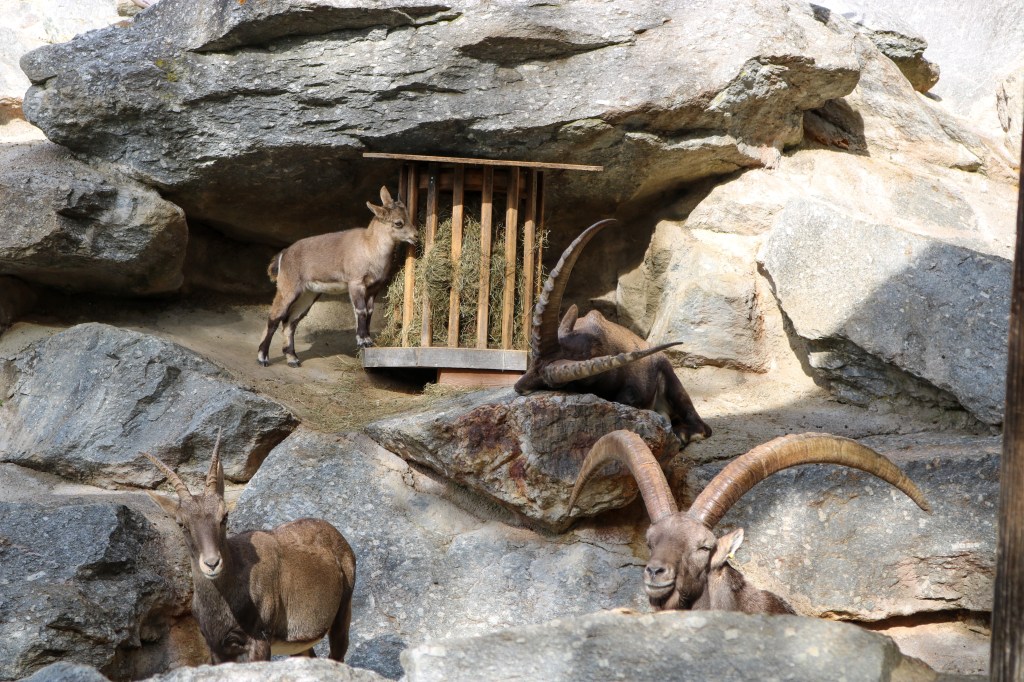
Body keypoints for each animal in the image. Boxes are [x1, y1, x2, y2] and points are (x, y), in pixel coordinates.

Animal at [144, 433, 356, 662]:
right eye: (181, 524)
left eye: (224, 516)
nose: (212, 563)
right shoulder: (217, 648)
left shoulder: (259, 640)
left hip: (343, 612)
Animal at [257, 185, 415, 367]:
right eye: (398, 223)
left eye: (408, 216)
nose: (416, 236)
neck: (369, 247)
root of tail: (284, 254)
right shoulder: (356, 282)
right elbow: (361, 310)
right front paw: (362, 340)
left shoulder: (374, 287)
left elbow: (369, 311)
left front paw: (368, 340)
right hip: (288, 287)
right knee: (274, 318)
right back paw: (263, 357)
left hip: (308, 293)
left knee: (290, 322)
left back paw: (293, 359)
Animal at [514, 219, 711, 445]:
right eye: (531, 365)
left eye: (550, 384)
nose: (518, 387)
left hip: (673, 382)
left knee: (702, 426)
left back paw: (681, 434)